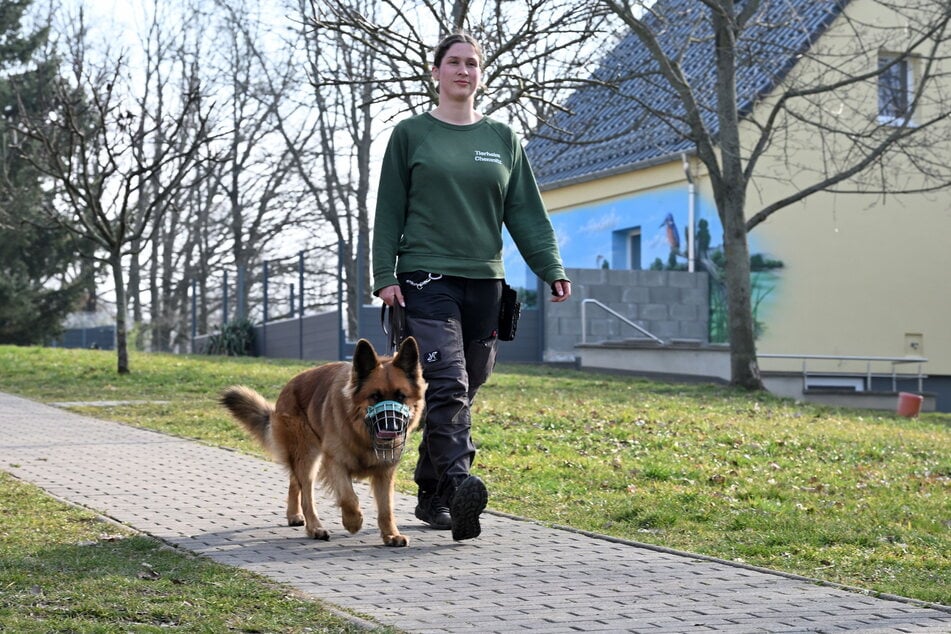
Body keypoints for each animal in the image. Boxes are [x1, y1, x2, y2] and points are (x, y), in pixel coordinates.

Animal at [219, 338, 428, 544]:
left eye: (401, 397)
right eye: (375, 396)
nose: (392, 428)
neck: (361, 434)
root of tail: (289, 386)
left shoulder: (385, 471)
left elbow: (386, 508)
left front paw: (391, 534)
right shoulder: (335, 463)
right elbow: (348, 497)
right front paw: (353, 522)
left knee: (295, 481)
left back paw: (293, 514)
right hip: (307, 456)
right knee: (306, 495)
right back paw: (315, 528)